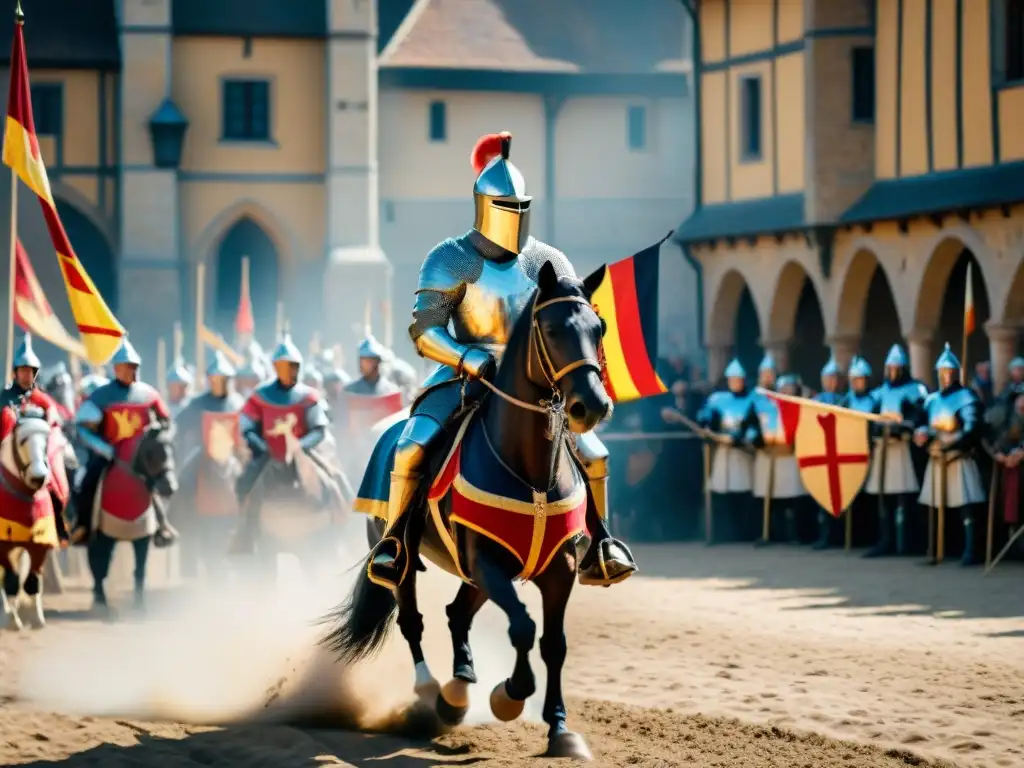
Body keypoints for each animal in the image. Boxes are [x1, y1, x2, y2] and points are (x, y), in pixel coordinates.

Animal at [321, 262, 606, 761]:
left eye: (599, 328)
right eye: (552, 329)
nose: (591, 405)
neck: (530, 470)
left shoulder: (559, 569)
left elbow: (553, 643)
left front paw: (560, 731)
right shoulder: (487, 561)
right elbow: (523, 627)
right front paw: (510, 694)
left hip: (473, 573)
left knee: (457, 614)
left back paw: (457, 691)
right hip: (406, 555)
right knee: (412, 619)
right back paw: (430, 691)